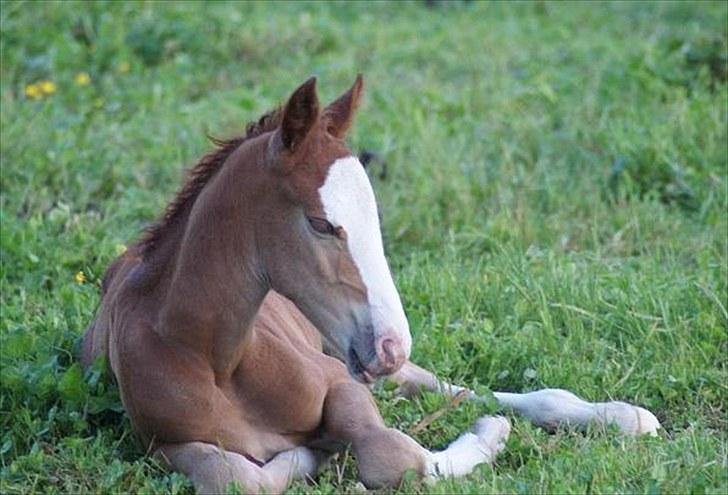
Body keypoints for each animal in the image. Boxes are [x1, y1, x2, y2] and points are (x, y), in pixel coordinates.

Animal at [84, 75, 660, 494]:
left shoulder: (339, 383)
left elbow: (394, 456)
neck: (217, 358)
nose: (391, 344)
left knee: (461, 389)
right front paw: (306, 454)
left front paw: (488, 434)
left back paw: (622, 416)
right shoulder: (164, 443)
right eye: (321, 224)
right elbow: (241, 479)